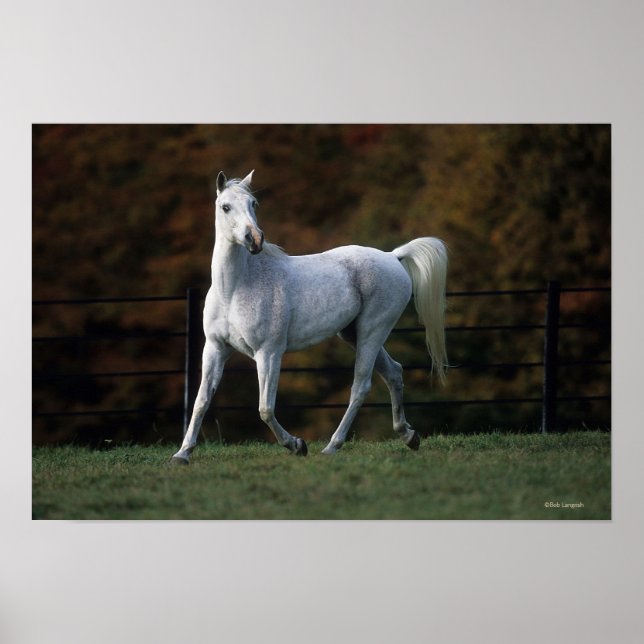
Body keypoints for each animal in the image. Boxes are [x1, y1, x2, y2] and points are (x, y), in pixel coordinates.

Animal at [171, 170, 448, 464]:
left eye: (254, 203)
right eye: (225, 207)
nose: (254, 239)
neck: (235, 289)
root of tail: (392, 256)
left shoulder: (269, 353)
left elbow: (265, 408)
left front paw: (296, 445)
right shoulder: (215, 349)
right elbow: (201, 401)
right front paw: (182, 453)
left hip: (372, 331)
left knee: (360, 385)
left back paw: (332, 445)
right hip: (353, 334)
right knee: (394, 372)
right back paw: (409, 436)